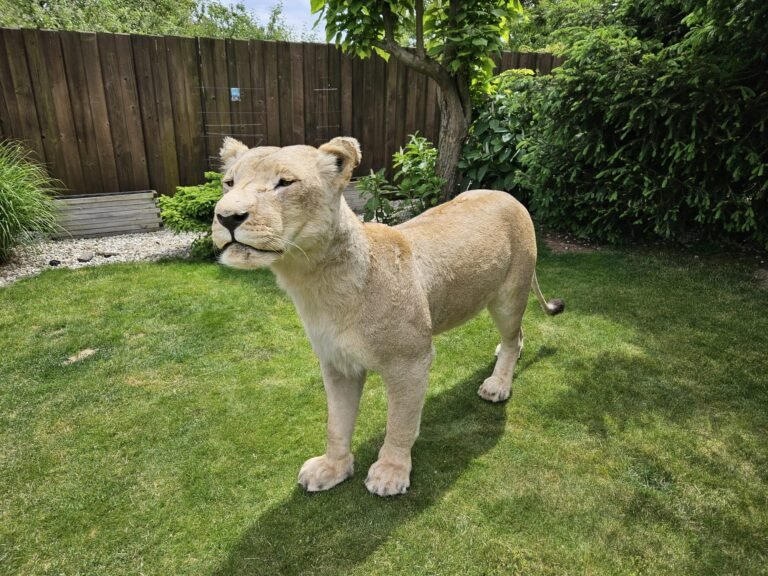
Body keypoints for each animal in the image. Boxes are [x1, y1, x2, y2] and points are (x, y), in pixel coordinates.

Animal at [211, 136, 564, 496]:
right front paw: (332, 468)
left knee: (514, 336)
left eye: (284, 182)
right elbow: (336, 423)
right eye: (229, 183)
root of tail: (506, 194)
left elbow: (401, 423)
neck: (315, 282)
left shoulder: (411, 362)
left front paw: (389, 473)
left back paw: (498, 383)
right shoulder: (337, 364)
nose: (226, 217)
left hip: (509, 297)